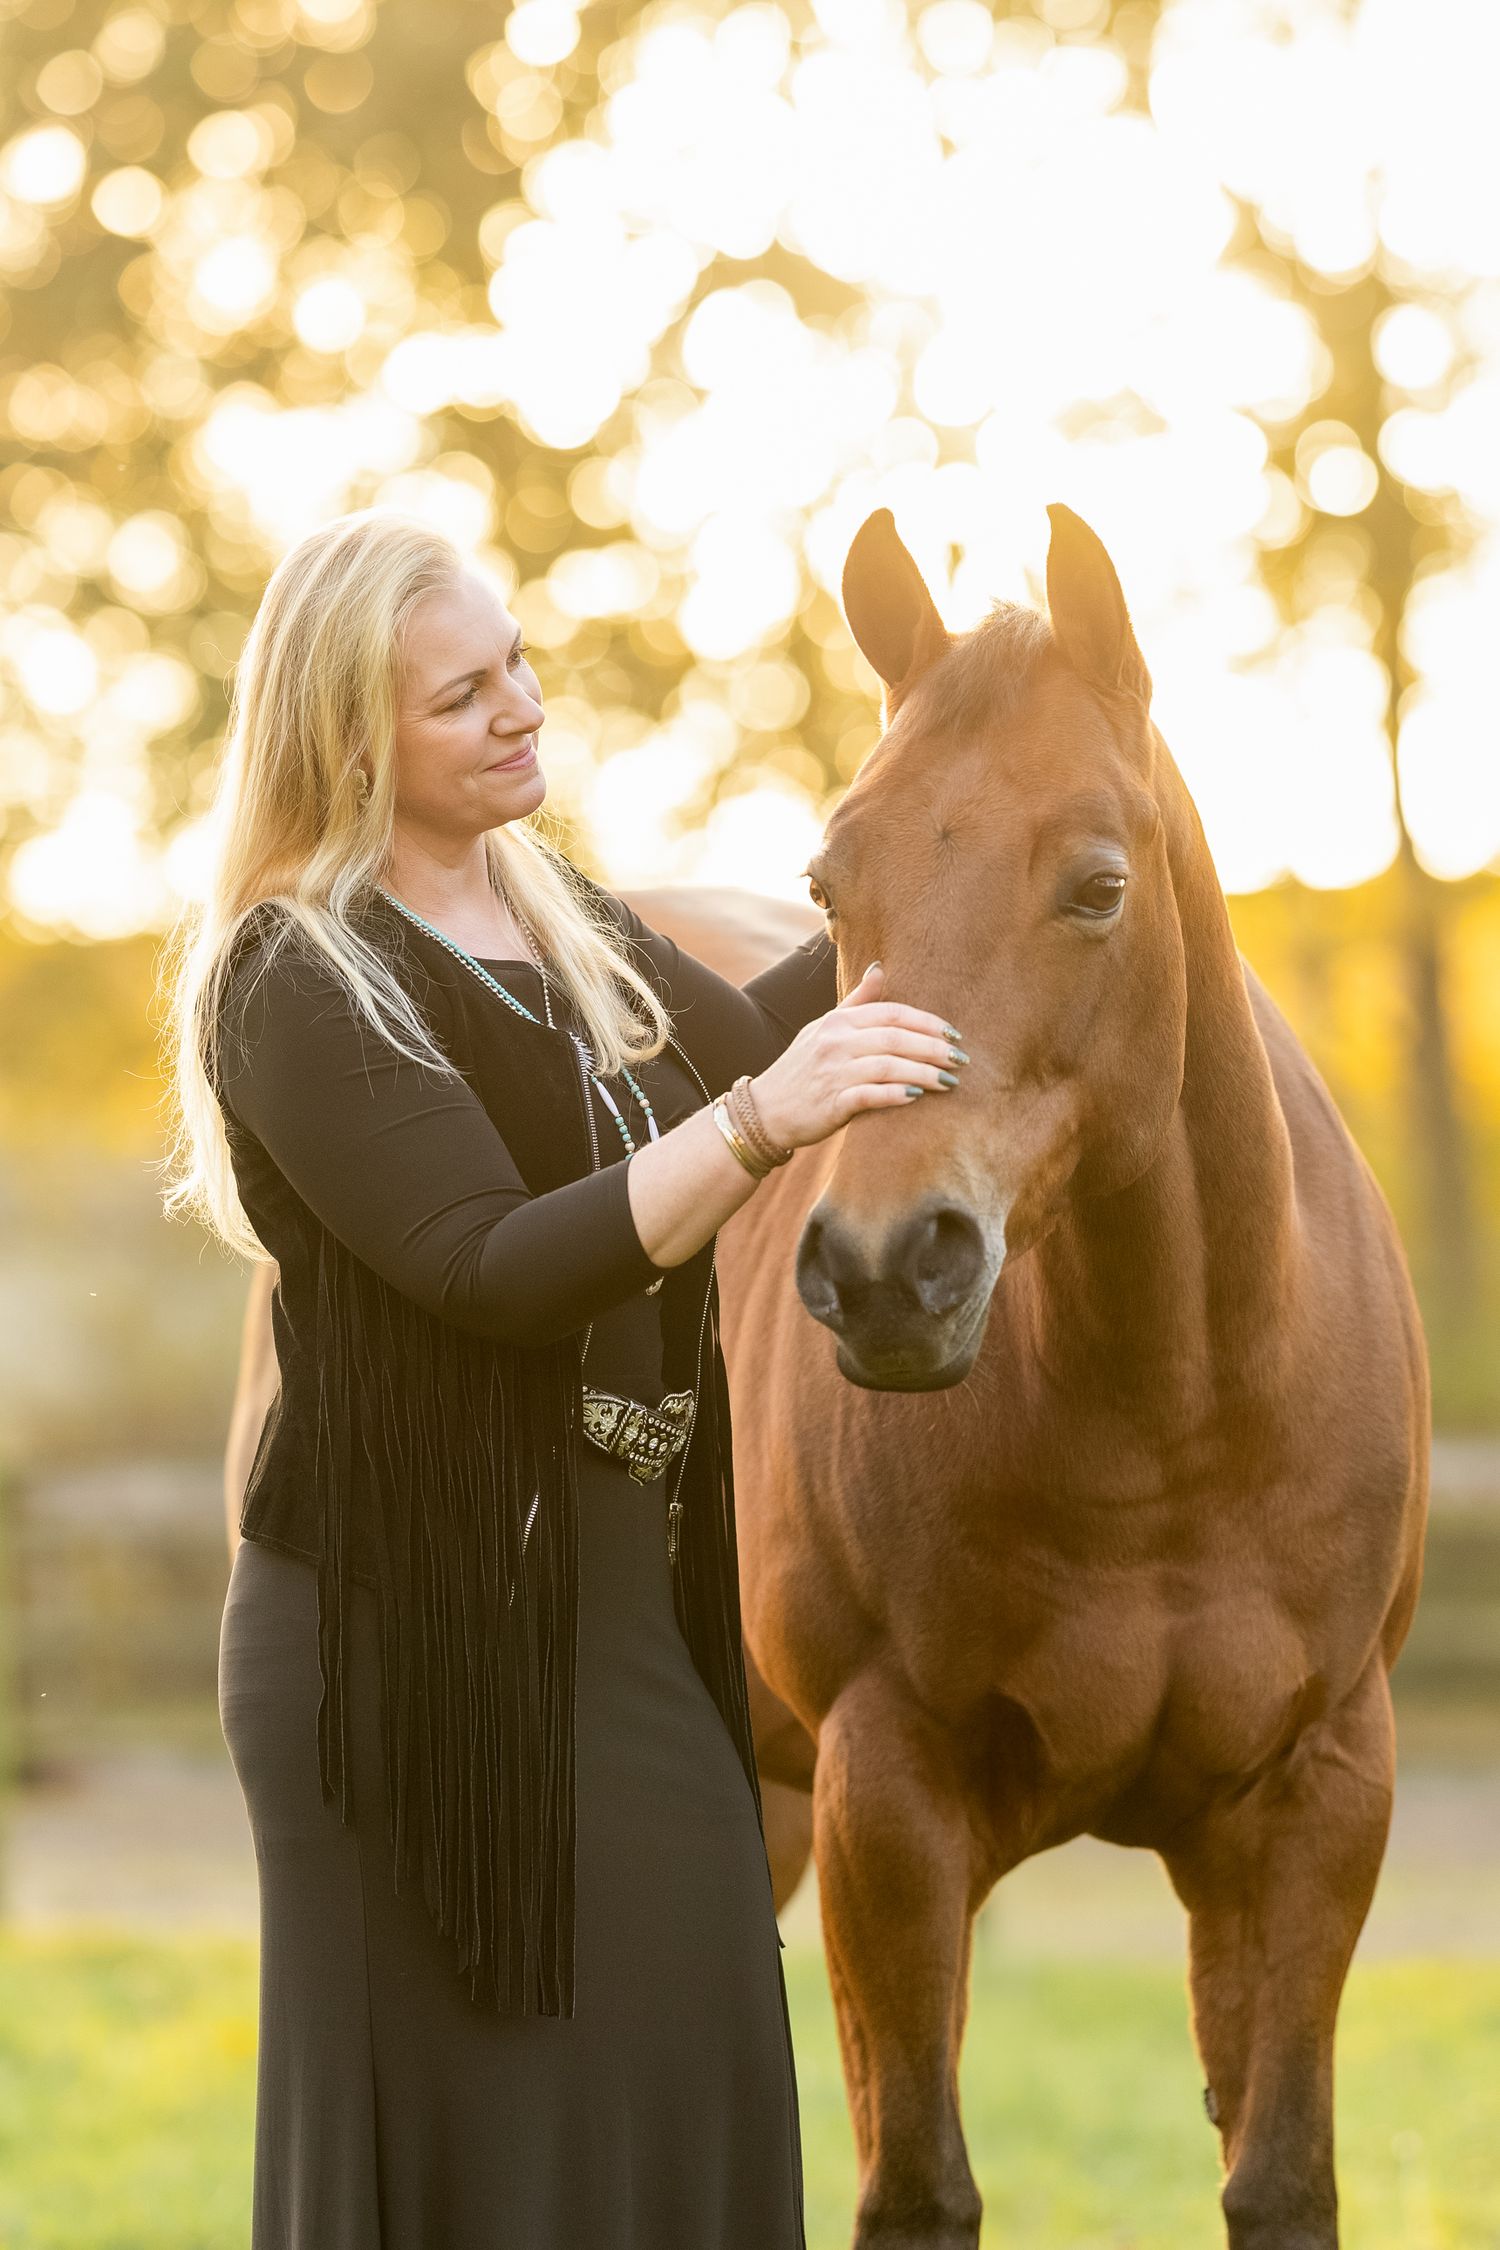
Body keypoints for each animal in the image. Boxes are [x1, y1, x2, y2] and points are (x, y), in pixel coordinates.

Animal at [715, 505, 1430, 2249]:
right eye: (833, 879)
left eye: (1098, 886)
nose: (888, 1266)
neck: (1173, 1420)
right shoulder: (891, 1797)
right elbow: (918, 2185)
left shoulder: (1316, 1803)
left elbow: (1281, 2172)